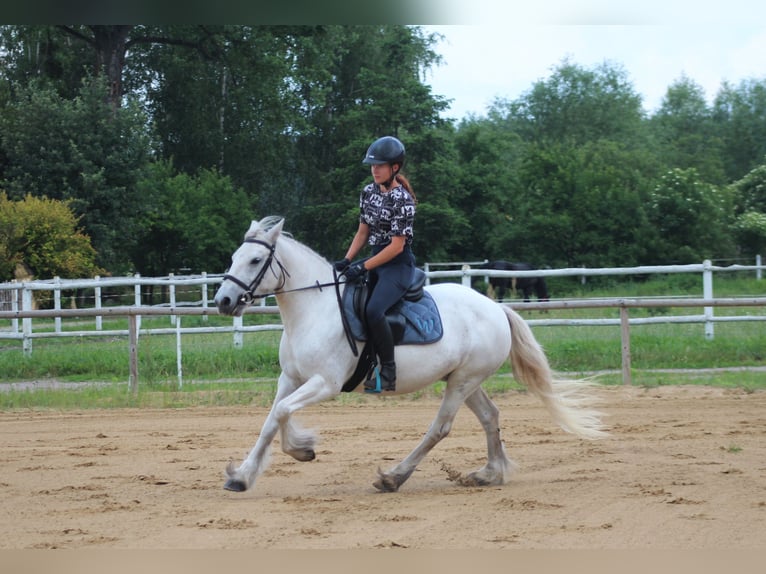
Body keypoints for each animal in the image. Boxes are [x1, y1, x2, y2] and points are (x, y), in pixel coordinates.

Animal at [213, 217, 608, 496]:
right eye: (233, 257)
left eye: (256, 259)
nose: (224, 301)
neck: (315, 309)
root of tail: (496, 309)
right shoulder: (291, 378)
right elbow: (272, 419)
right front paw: (246, 475)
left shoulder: (325, 383)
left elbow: (282, 412)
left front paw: (299, 448)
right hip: (465, 380)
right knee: (490, 417)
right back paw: (489, 474)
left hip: (462, 382)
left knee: (440, 428)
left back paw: (393, 477)